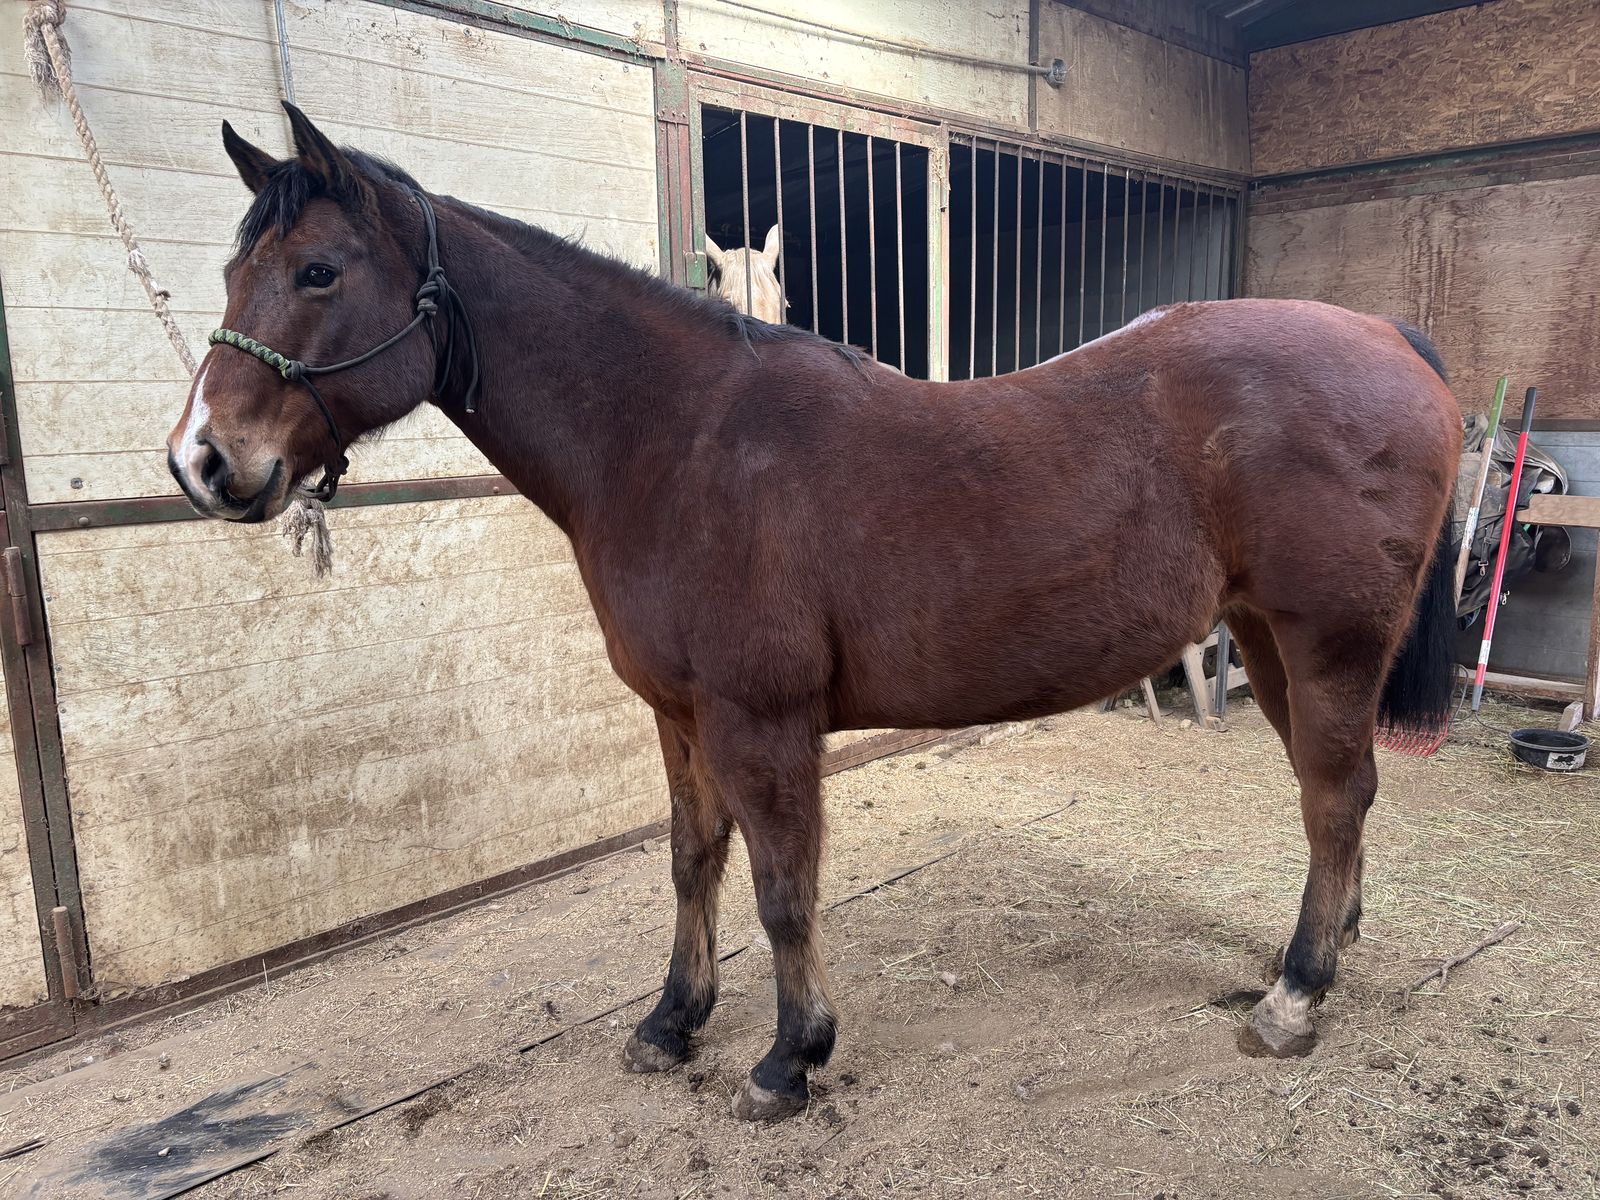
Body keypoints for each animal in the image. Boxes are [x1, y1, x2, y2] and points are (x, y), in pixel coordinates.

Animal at [168, 104, 1460, 1122]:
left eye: (319, 272)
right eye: (232, 274)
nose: (204, 462)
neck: (677, 442)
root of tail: (1387, 337)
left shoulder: (762, 722)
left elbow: (783, 890)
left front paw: (789, 1060)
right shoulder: (680, 717)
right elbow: (693, 862)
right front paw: (671, 1022)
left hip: (1328, 642)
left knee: (1335, 794)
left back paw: (1295, 996)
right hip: (1271, 643)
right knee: (1331, 800)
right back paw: (1324, 951)